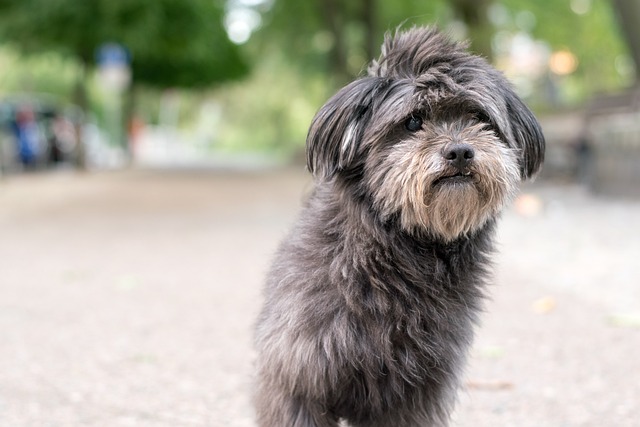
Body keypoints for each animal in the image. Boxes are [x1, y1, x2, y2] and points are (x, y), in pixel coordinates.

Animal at [252, 27, 544, 427]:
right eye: (413, 122)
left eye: (477, 117)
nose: (460, 152)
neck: (403, 253)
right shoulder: (299, 377)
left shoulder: (416, 391)